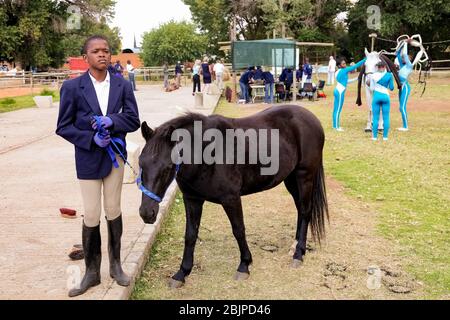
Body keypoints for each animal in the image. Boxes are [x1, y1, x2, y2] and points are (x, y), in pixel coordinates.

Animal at [139, 105, 328, 288]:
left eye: (168, 167)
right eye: (141, 163)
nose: (146, 213)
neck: (207, 152)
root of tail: (312, 119)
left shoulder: (231, 199)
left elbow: (238, 230)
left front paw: (244, 265)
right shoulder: (192, 199)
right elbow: (191, 235)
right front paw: (181, 273)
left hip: (304, 176)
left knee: (305, 211)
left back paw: (298, 254)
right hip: (291, 179)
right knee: (300, 209)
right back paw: (295, 246)